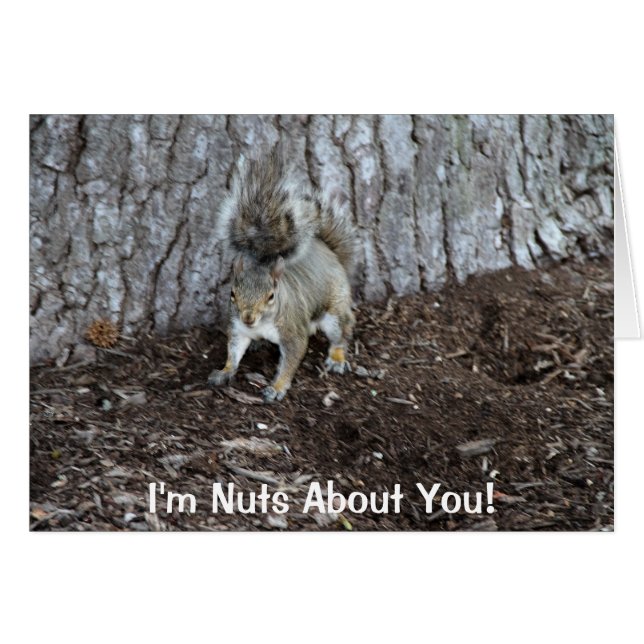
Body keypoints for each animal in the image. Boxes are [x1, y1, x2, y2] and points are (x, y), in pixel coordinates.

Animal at [208, 152, 358, 403]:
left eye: (271, 296)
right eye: (232, 294)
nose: (248, 318)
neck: (262, 323)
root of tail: (329, 252)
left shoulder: (292, 332)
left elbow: (291, 360)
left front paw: (277, 387)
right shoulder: (238, 328)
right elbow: (234, 350)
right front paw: (225, 371)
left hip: (334, 308)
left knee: (343, 328)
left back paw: (337, 357)